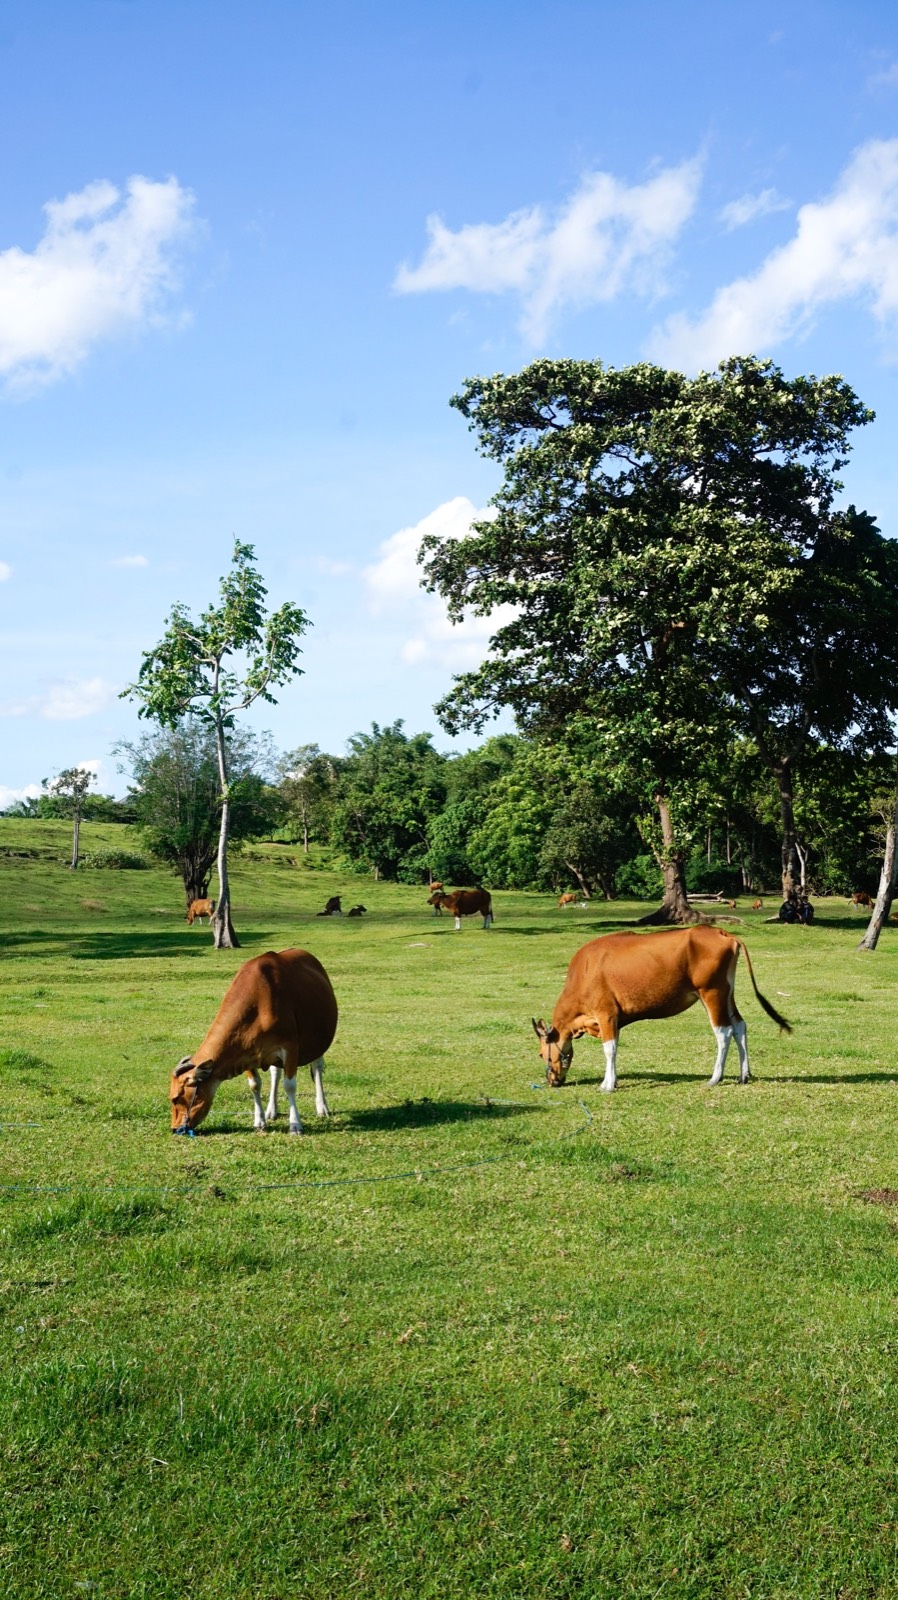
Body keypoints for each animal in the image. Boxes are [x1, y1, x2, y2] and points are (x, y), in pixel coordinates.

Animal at [170, 948, 337, 1136]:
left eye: (176, 1098)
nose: (174, 1128)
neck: (258, 1005)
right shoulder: (245, 1052)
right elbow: (255, 1085)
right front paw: (260, 1121)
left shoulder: (290, 1047)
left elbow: (290, 1085)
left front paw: (295, 1124)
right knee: (275, 1072)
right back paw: (272, 1109)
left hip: (319, 1043)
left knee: (317, 1069)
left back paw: (322, 1107)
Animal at [532, 926, 790, 1093]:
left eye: (542, 1054)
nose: (551, 1081)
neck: (584, 971)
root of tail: (721, 932)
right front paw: (611, 1081)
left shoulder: (606, 1014)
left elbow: (609, 1049)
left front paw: (607, 1085)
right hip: (727, 993)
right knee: (739, 1026)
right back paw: (744, 1074)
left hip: (711, 992)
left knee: (723, 1031)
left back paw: (715, 1078)